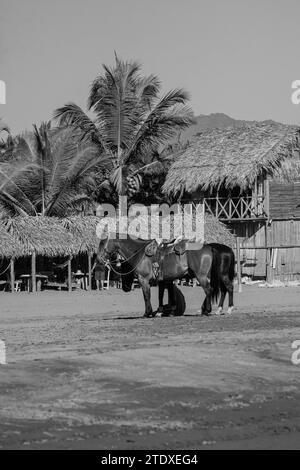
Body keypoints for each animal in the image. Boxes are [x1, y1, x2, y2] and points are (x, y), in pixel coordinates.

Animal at [98, 234, 234, 316]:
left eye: (103, 243)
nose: (99, 259)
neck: (140, 253)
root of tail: (209, 247)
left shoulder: (143, 280)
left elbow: (146, 296)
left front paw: (148, 313)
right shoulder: (163, 280)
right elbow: (162, 296)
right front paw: (160, 312)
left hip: (203, 276)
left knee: (212, 289)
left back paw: (211, 310)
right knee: (220, 289)